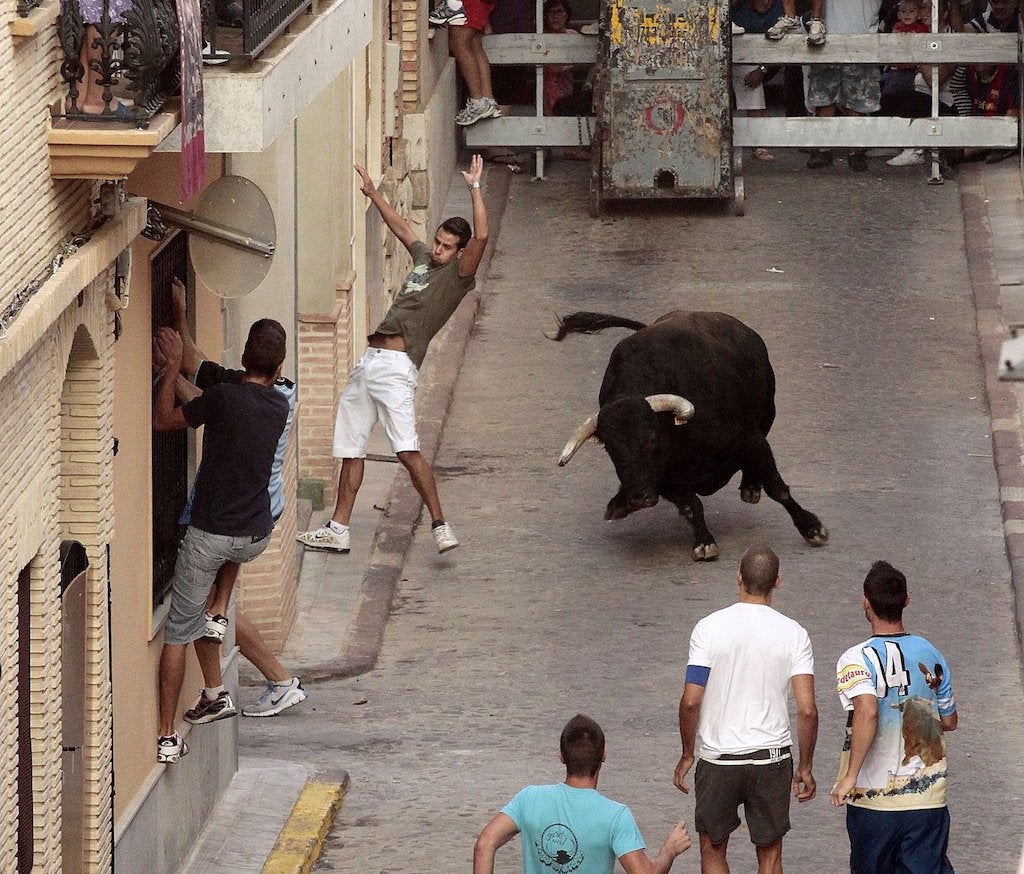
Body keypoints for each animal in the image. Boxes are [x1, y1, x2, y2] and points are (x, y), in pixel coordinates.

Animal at [552, 311, 823, 564]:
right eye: (610, 449)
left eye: (652, 439)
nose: (638, 498)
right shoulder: (664, 480)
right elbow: (691, 506)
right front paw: (704, 542)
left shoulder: (751, 441)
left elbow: (778, 489)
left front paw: (812, 528)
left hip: (768, 412)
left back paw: (751, 487)